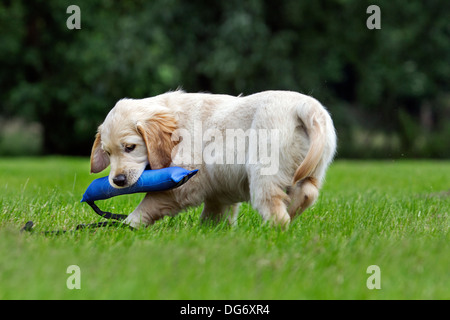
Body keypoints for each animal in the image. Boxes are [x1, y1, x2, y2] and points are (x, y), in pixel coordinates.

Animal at [91, 90, 336, 228]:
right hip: (313, 167)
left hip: (262, 172)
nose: (118, 181)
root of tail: (304, 107)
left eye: (130, 147)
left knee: (274, 208)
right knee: (307, 192)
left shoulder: (186, 184)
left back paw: (272, 231)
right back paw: (292, 213)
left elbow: (148, 203)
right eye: (108, 153)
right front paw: (210, 232)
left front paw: (128, 226)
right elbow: (215, 212)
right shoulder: (218, 187)